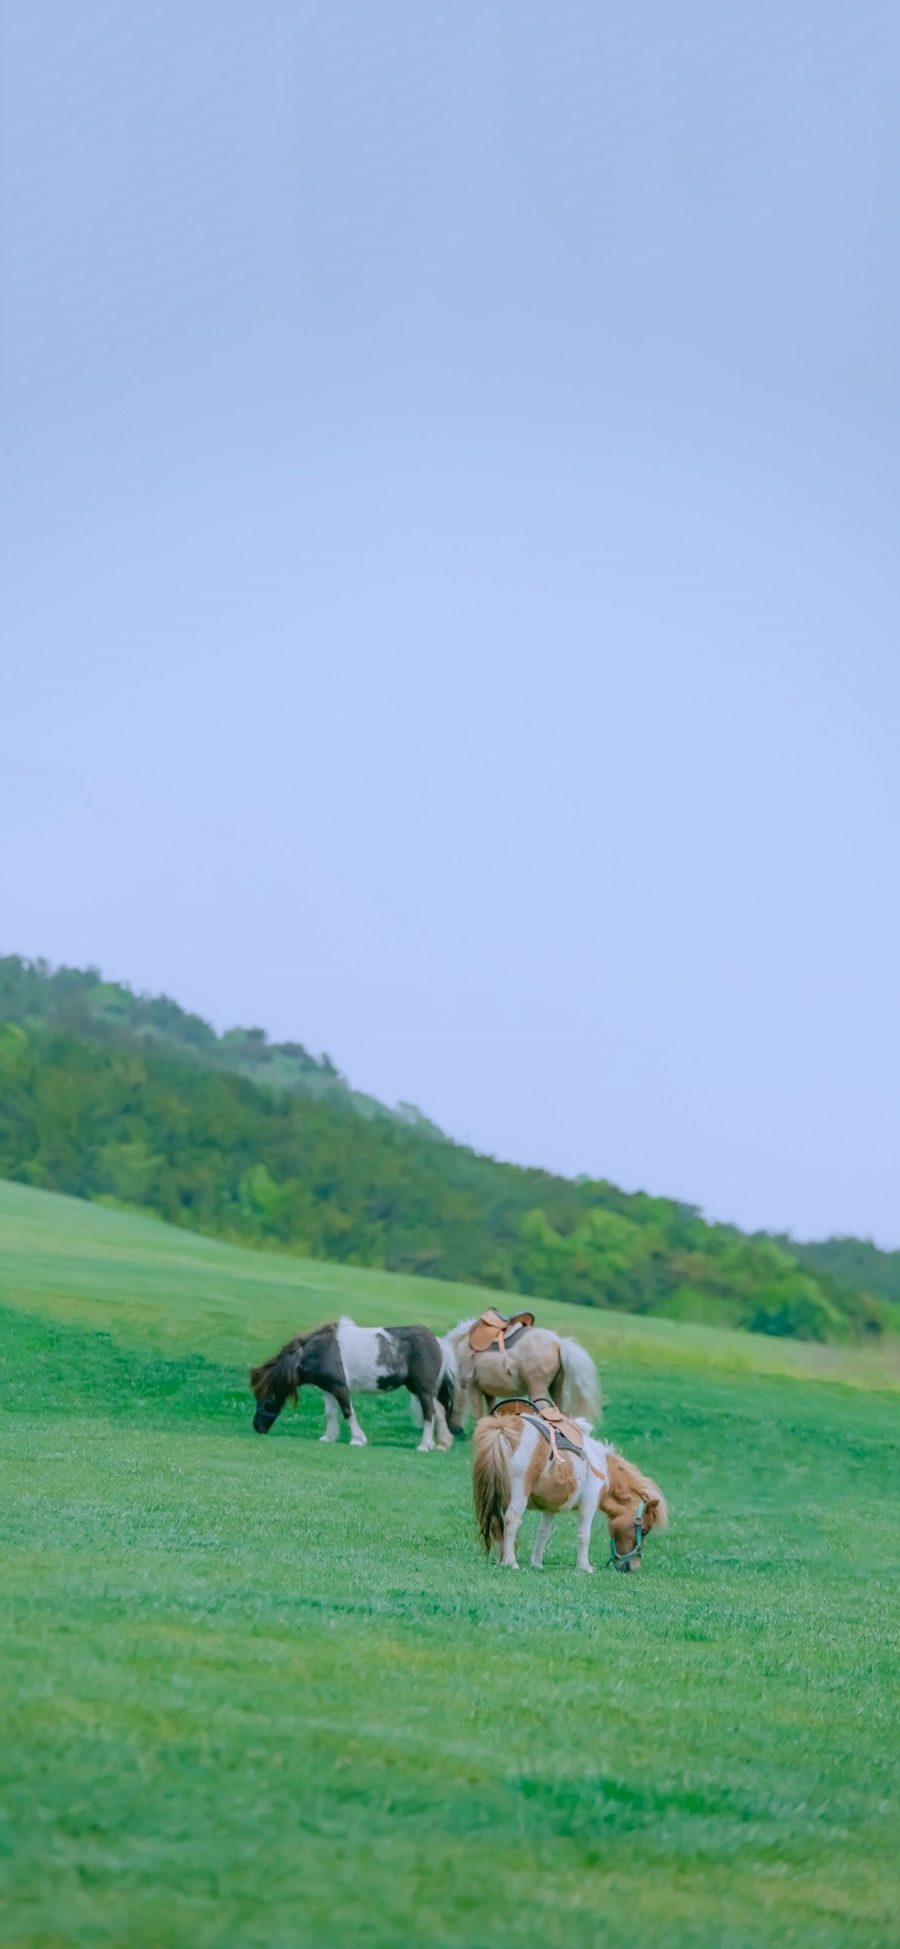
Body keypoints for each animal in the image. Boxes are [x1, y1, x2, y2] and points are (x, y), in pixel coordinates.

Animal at [247, 1317, 453, 1457]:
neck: (322, 1351)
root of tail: (438, 1342)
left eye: (269, 1397)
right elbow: (330, 1413)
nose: (257, 1427)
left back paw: (424, 1445)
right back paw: (438, 1443)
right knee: (438, 1412)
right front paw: (328, 1437)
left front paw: (357, 1439)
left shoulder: (340, 1388)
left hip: (423, 1390)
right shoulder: (329, 1389)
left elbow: (347, 1412)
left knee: (429, 1413)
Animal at [440, 1309, 600, 1434]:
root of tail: (558, 1342)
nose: (455, 1431)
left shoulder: (473, 1387)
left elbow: (477, 1411)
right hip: (556, 1388)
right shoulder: (488, 1391)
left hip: (537, 1388)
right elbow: (491, 1410)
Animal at [471, 1403, 666, 1566]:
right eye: (644, 1530)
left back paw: (501, 1560)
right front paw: (584, 1567)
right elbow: (584, 1535)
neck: (600, 1465)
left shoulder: (549, 1508)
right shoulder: (589, 1504)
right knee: (511, 1520)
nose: (633, 1567)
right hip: (519, 1494)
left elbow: (543, 1533)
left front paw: (536, 1564)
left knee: (496, 1523)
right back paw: (511, 1563)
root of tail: (503, 1428)